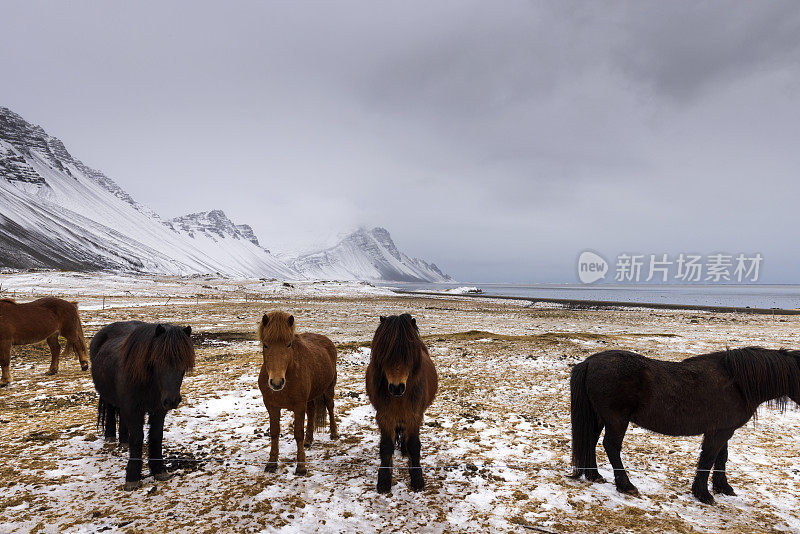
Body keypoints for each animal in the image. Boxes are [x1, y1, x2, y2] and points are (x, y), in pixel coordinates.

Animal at [258, 312, 336, 476]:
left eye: (288, 344)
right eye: (265, 344)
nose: (276, 383)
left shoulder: (299, 406)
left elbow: (298, 434)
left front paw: (301, 466)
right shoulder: (271, 406)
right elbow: (274, 432)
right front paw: (271, 463)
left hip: (329, 389)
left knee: (330, 407)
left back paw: (334, 433)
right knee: (312, 412)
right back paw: (309, 440)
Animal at [368, 314, 438, 494]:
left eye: (409, 354)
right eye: (384, 353)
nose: (396, 387)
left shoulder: (414, 416)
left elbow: (414, 445)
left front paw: (417, 479)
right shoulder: (385, 417)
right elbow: (386, 447)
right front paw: (384, 482)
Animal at [568, 350, 800, 504]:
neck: (737, 383)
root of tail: (589, 362)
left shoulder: (722, 429)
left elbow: (721, 458)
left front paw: (723, 487)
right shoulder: (720, 432)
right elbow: (708, 459)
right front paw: (703, 494)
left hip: (599, 418)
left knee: (590, 442)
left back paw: (594, 475)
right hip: (616, 420)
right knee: (611, 447)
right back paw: (626, 486)